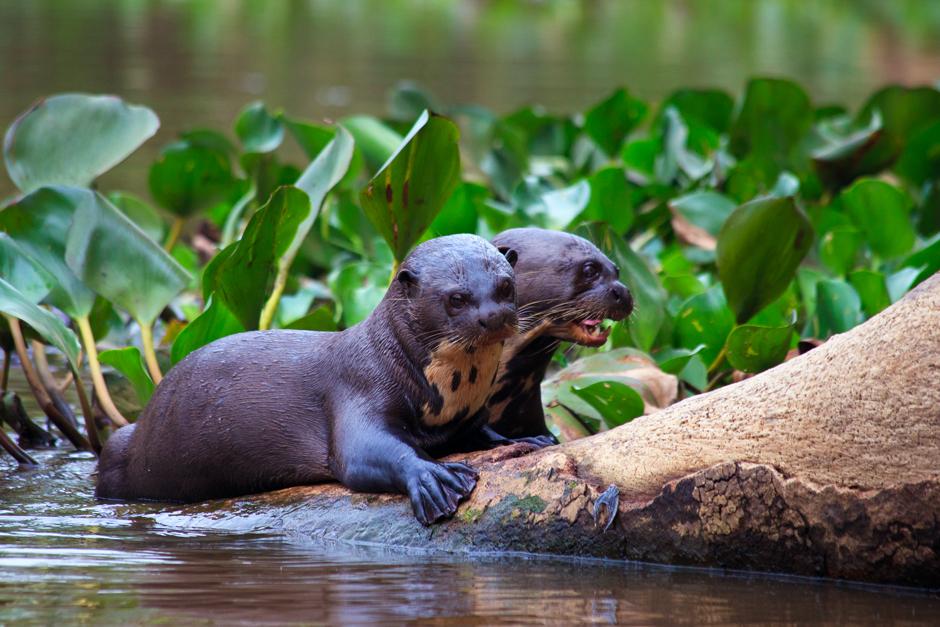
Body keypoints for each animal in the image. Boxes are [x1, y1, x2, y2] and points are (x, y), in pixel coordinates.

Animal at [97, 234, 516, 524]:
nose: (494, 315)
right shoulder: (362, 386)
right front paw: (435, 477)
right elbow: (362, 453)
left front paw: (521, 440)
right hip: (122, 447)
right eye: (456, 298)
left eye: (506, 286)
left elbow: (486, 432)